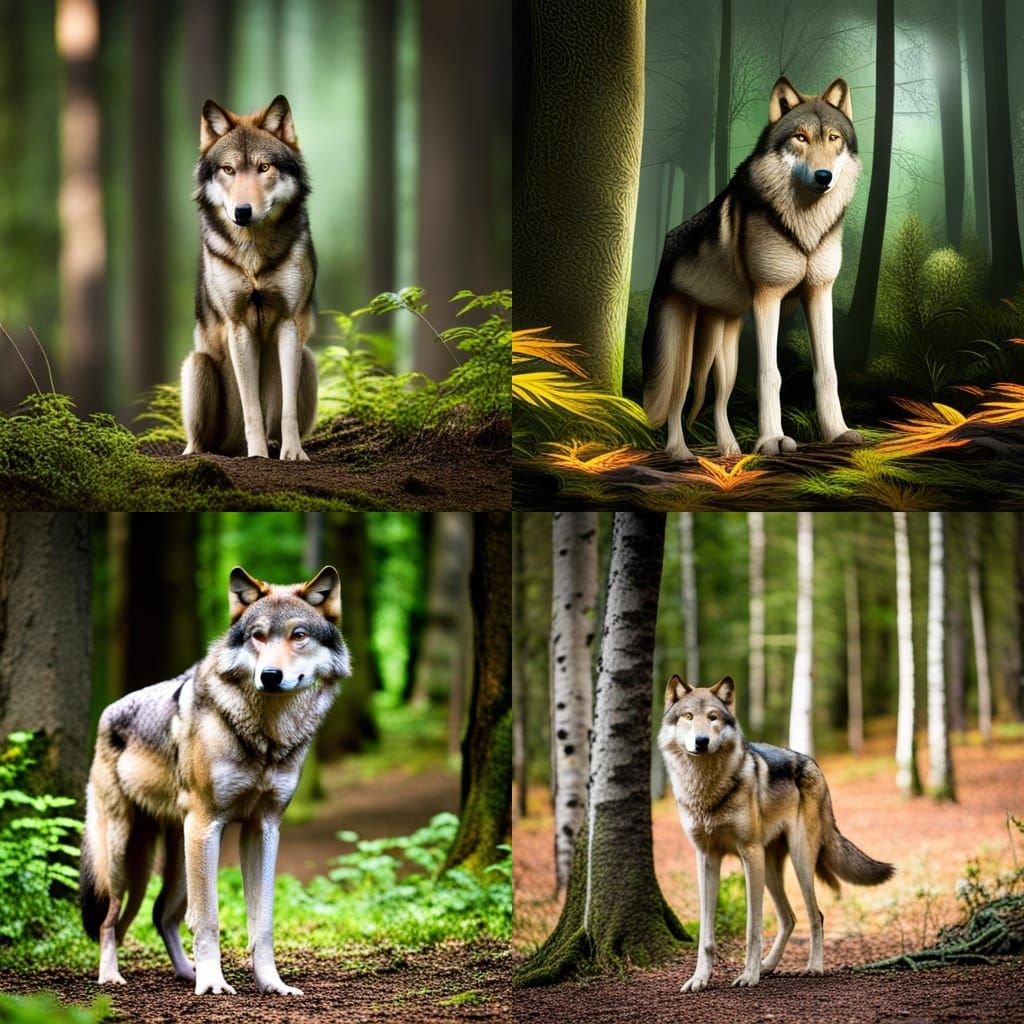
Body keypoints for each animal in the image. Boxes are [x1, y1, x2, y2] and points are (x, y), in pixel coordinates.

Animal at [80, 566, 350, 996]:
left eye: (298, 635)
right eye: (258, 635)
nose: (269, 675)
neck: (266, 737)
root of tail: (107, 713)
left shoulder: (263, 829)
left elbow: (263, 922)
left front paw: (271, 984)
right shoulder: (208, 823)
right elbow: (208, 919)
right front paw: (212, 984)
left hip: (176, 858)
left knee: (161, 915)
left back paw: (185, 972)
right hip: (127, 857)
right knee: (110, 920)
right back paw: (112, 976)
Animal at [182, 95, 318, 461]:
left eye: (264, 168)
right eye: (228, 170)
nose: (242, 212)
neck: (253, 256)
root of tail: (229, 448)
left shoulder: (289, 323)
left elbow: (285, 408)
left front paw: (292, 453)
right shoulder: (238, 326)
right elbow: (251, 405)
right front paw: (256, 454)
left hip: (309, 359)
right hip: (197, 366)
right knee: (198, 440)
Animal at [643, 77, 863, 460]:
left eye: (833, 138)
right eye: (800, 137)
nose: (824, 176)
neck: (806, 227)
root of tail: (667, 241)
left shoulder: (819, 293)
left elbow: (827, 372)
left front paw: (837, 432)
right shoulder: (767, 297)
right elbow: (770, 374)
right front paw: (772, 440)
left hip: (725, 353)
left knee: (718, 398)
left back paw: (730, 449)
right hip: (680, 352)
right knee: (676, 398)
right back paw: (680, 452)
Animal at [658, 675, 893, 992]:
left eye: (713, 717)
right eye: (688, 716)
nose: (702, 741)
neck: (706, 789)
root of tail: (814, 764)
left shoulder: (749, 854)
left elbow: (753, 929)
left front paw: (748, 976)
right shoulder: (706, 858)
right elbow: (706, 937)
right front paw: (699, 979)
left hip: (798, 861)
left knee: (815, 915)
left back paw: (812, 967)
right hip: (769, 868)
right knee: (790, 918)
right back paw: (768, 965)